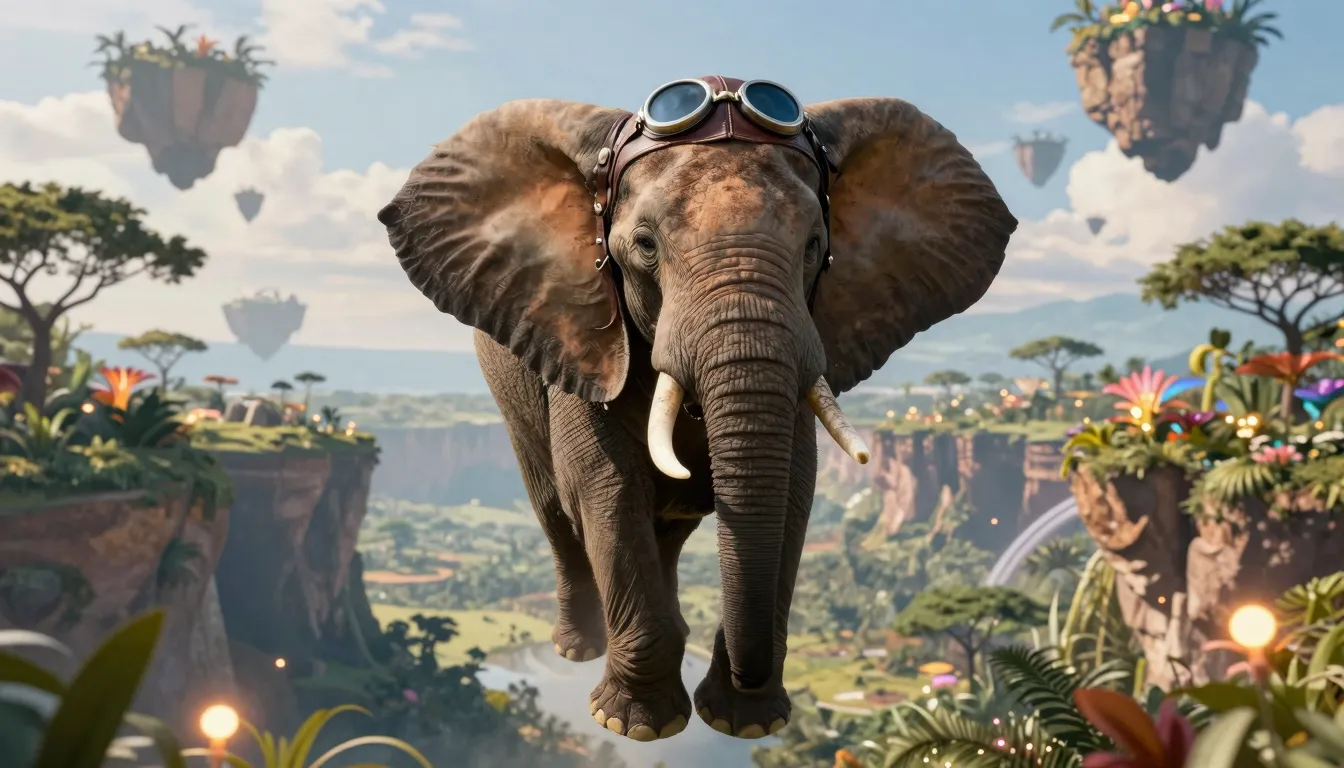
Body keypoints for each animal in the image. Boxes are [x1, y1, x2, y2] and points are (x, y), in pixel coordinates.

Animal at [378, 77, 1016, 742]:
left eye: (815, 247)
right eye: (644, 247)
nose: (747, 675)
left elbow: (794, 490)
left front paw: (745, 724)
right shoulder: (584, 338)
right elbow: (606, 488)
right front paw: (634, 725)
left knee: (668, 528)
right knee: (555, 507)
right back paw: (579, 648)